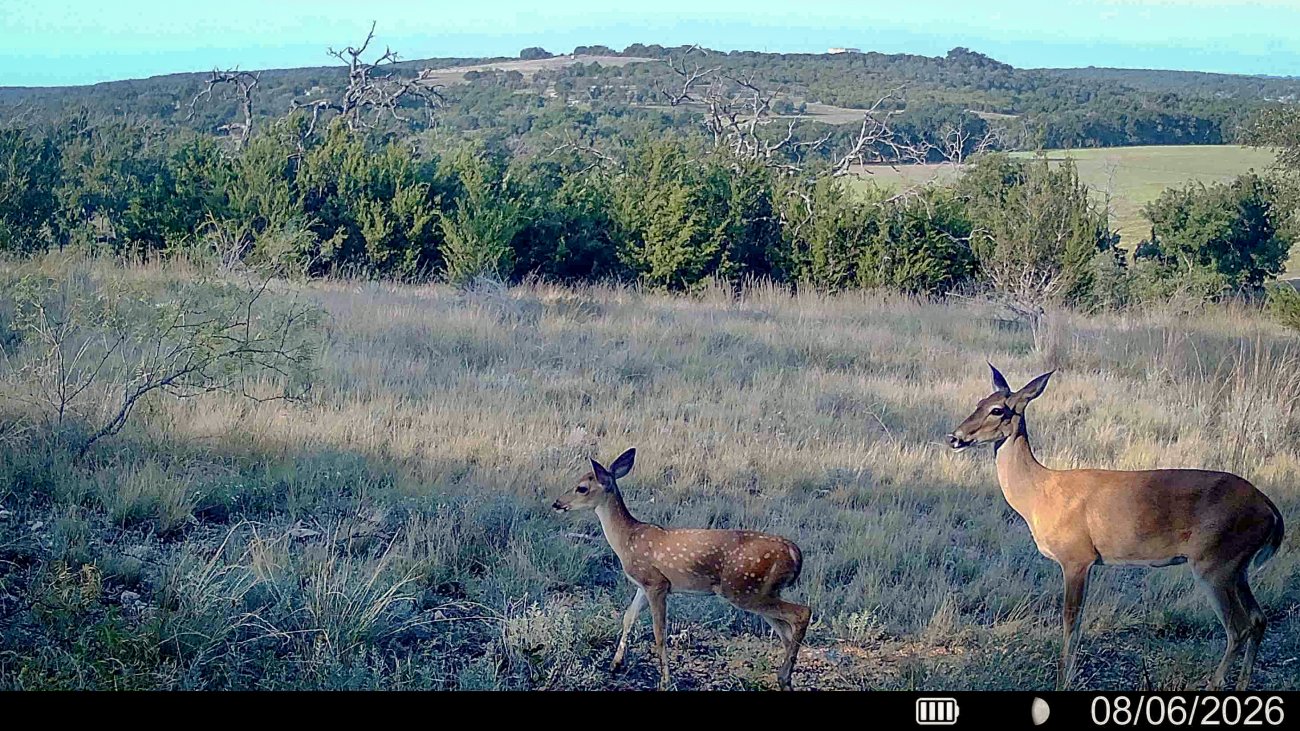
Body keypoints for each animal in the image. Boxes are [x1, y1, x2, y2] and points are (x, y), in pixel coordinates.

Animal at [552, 448, 811, 690]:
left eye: (582, 488)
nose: (557, 503)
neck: (627, 539)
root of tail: (794, 552)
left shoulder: (657, 584)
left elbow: (659, 633)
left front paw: (665, 680)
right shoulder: (643, 585)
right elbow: (628, 617)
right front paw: (615, 664)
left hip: (744, 590)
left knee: (802, 613)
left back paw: (784, 676)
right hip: (760, 591)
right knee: (787, 631)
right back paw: (786, 678)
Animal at [947, 364, 1285, 690]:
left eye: (998, 410)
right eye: (979, 402)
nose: (954, 437)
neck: (1040, 494)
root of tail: (1271, 511)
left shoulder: (1076, 557)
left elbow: (1071, 619)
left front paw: (1063, 680)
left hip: (1214, 562)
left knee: (1238, 627)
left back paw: (1214, 684)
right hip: (1236, 566)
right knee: (1258, 619)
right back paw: (1242, 683)